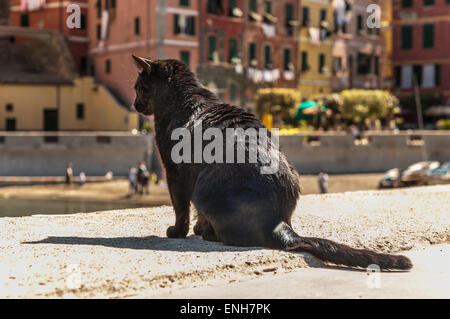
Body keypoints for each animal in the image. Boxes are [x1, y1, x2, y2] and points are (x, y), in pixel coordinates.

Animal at [131, 56, 412, 272]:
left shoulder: (175, 171)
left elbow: (180, 207)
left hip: (202, 187)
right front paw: (197, 228)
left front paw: (178, 231)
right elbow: (195, 213)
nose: (134, 104)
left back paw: (209, 234)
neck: (184, 99)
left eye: (138, 87)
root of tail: (279, 223)